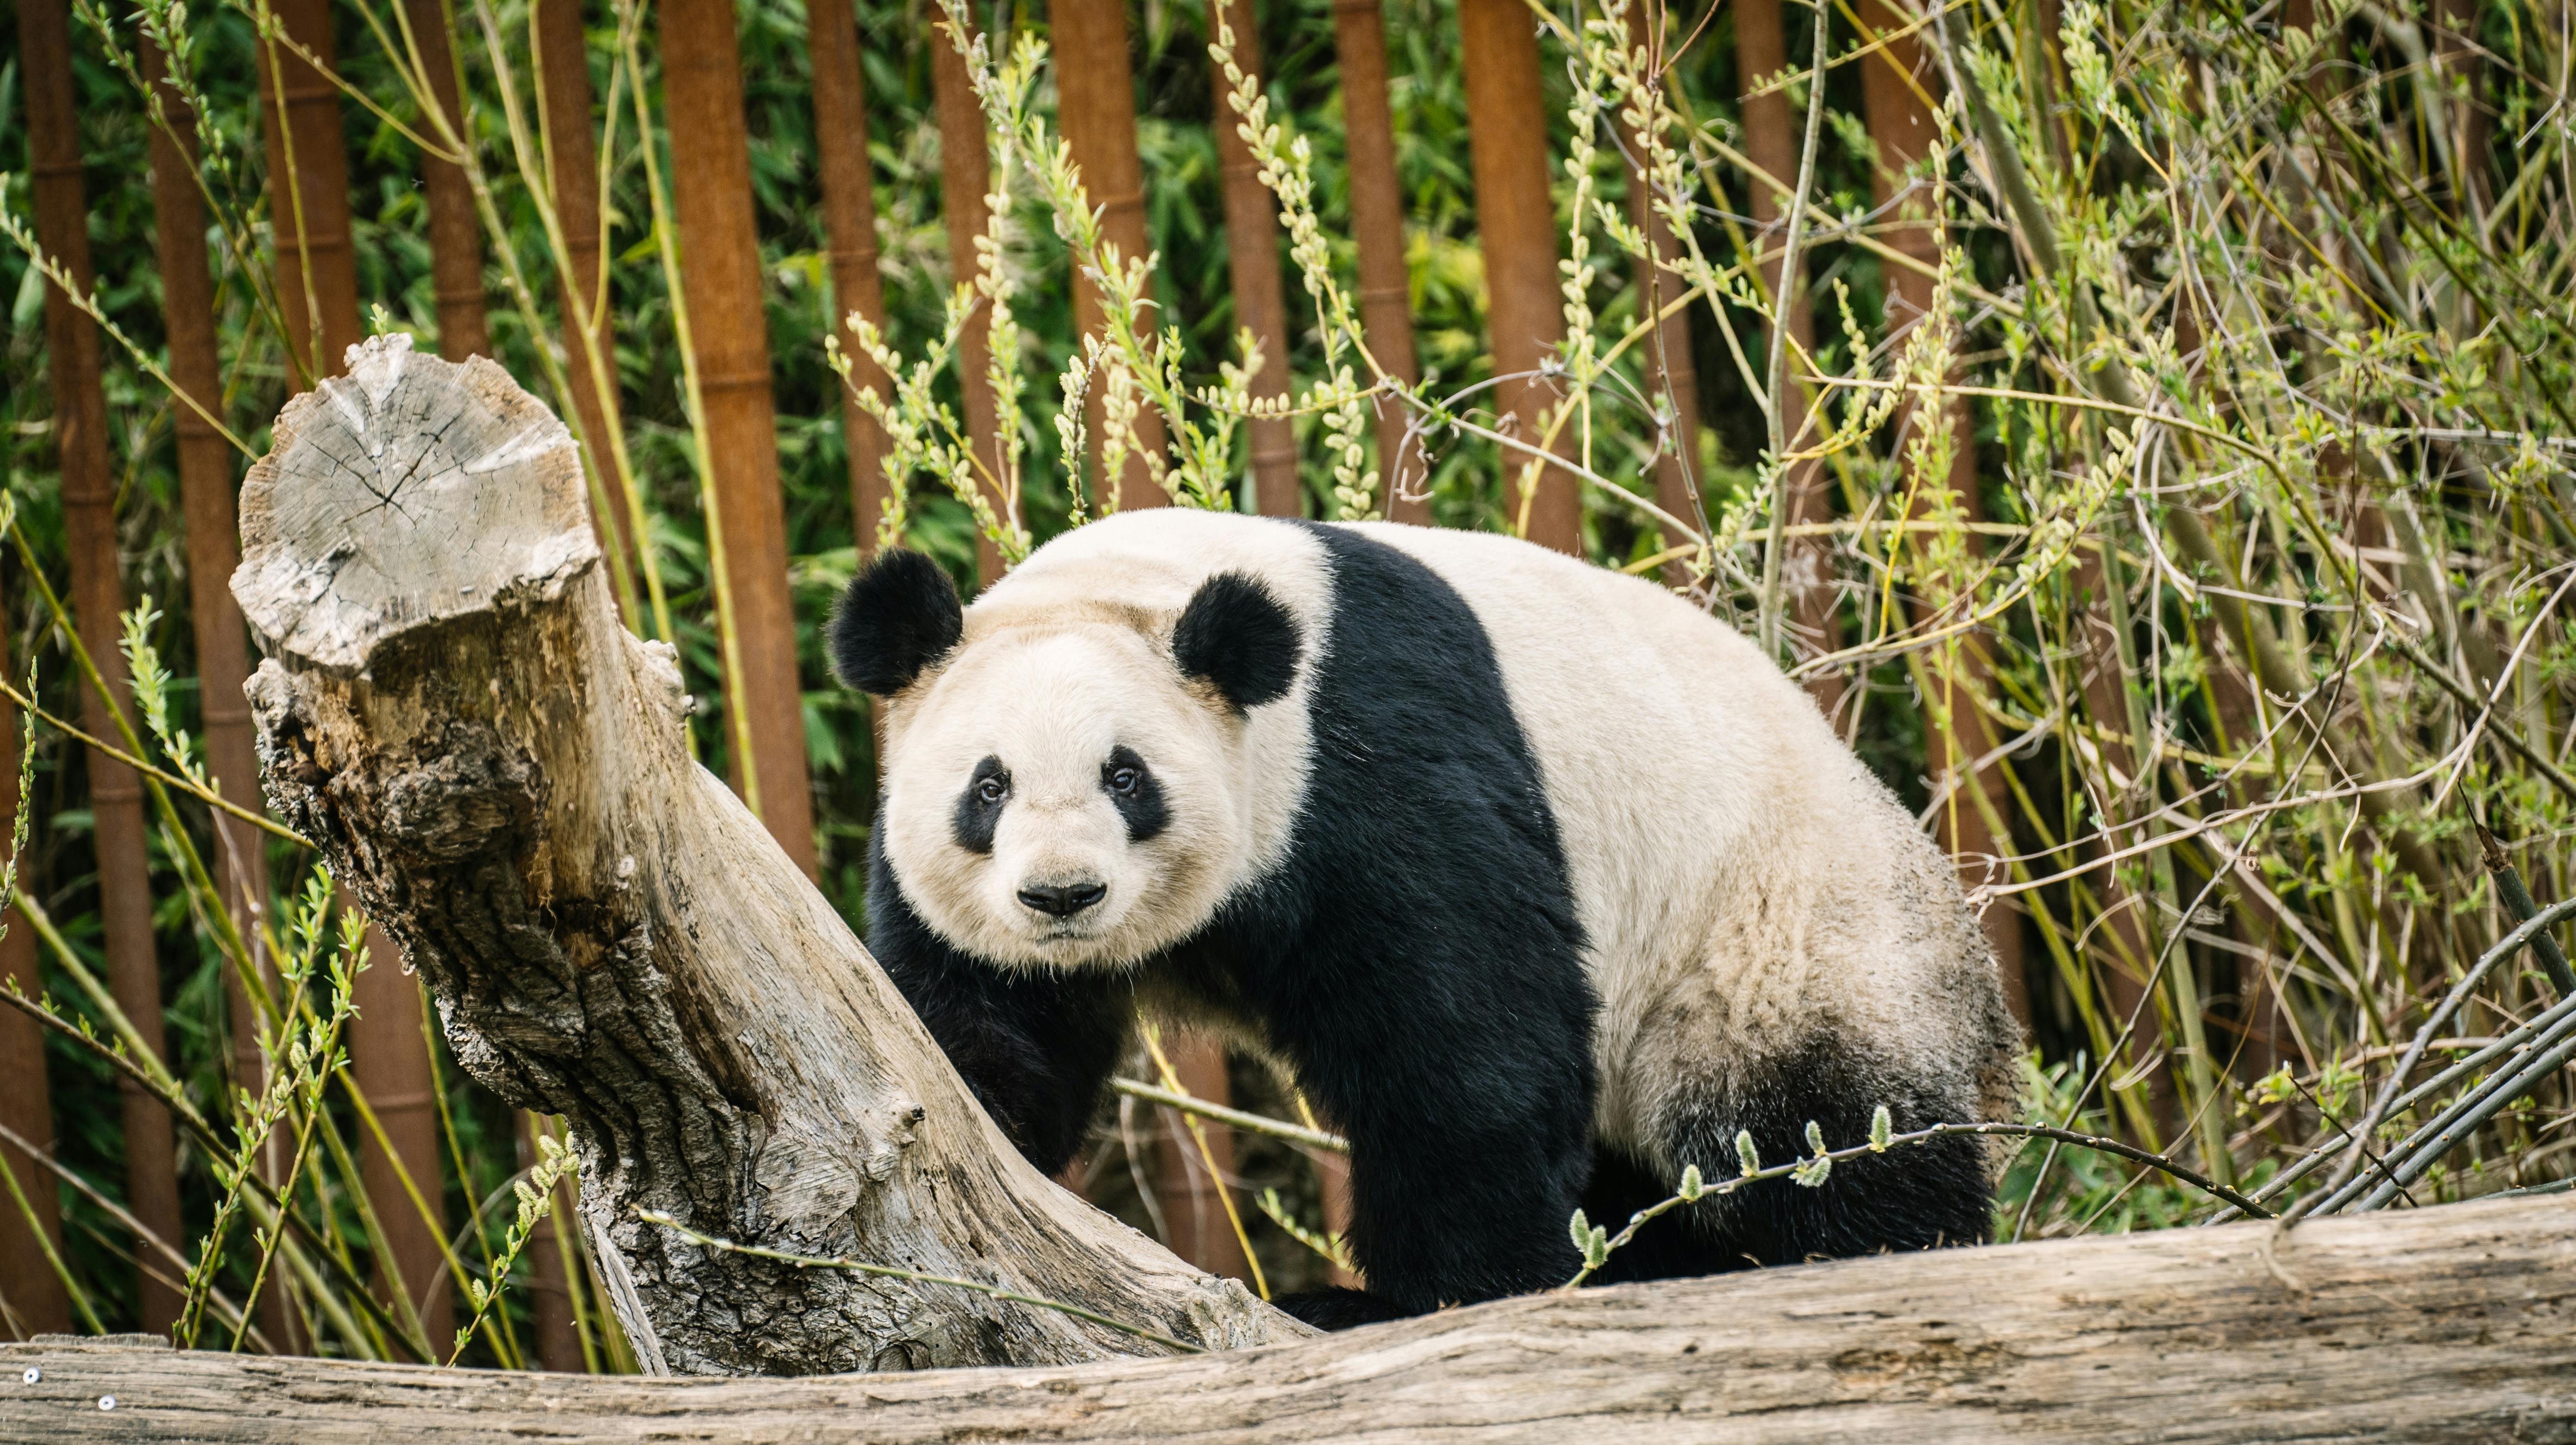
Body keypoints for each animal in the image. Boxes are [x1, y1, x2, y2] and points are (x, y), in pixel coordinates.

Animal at [835, 507, 2019, 1329]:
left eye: (1126, 777)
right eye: (987, 787)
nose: (1061, 895)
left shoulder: (1367, 761)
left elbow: (1461, 1043)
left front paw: (1434, 1297)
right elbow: (973, 1020)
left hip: (1781, 941)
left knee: (1824, 1138)